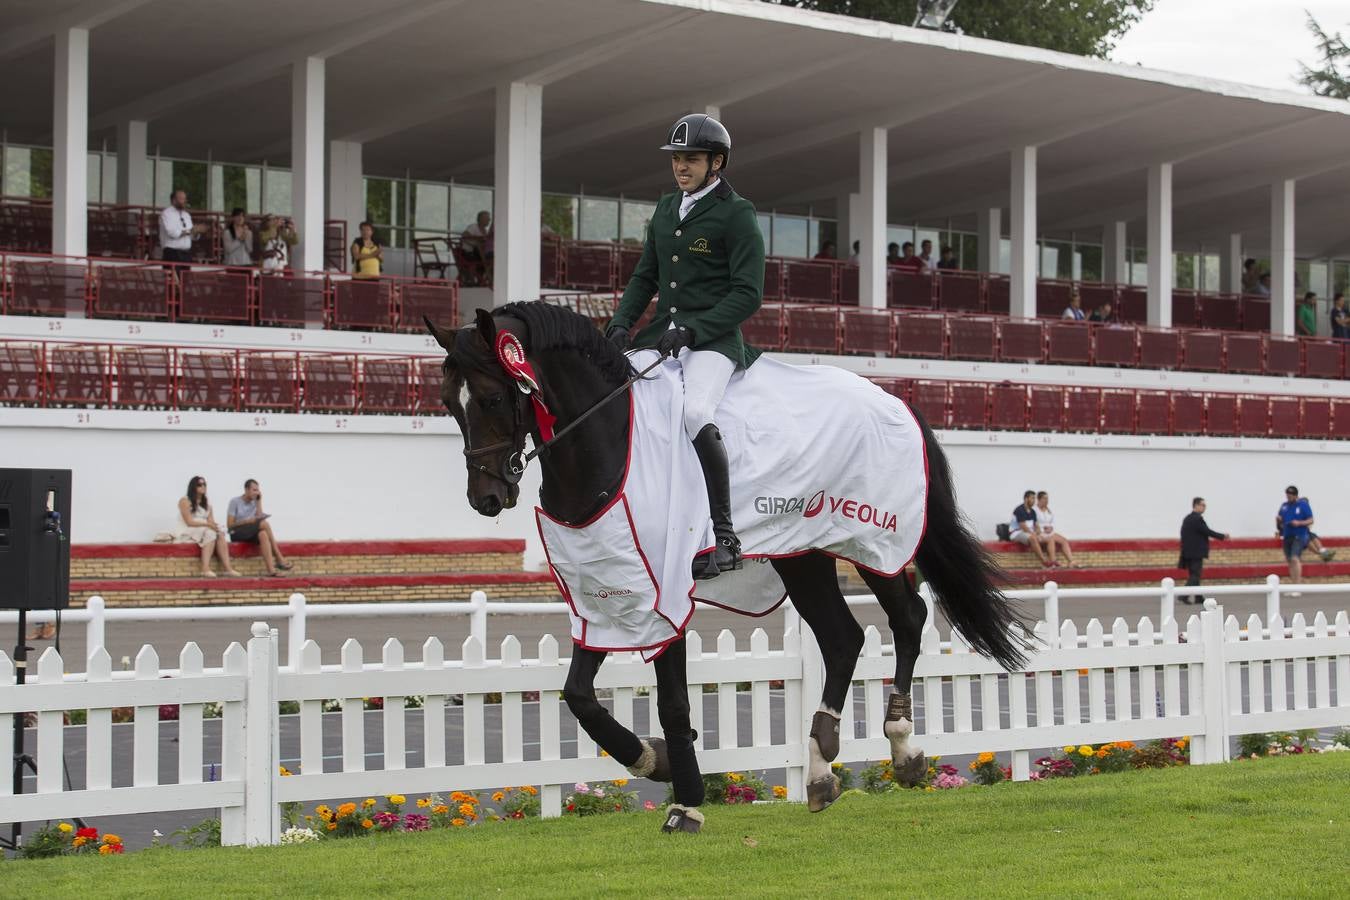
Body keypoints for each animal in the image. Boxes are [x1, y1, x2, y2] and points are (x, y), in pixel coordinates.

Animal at [426, 302, 1026, 831]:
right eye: (448, 402)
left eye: (491, 398)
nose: (486, 497)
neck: (610, 437)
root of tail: (895, 400)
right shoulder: (606, 594)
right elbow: (578, 697)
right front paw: (654, 760)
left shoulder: (663, 592)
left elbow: (672, 704)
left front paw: (686, 803)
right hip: (801, 556)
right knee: (843, 638)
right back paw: (820, 769)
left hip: (876, 541)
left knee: (907, 618)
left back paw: (901, 746)